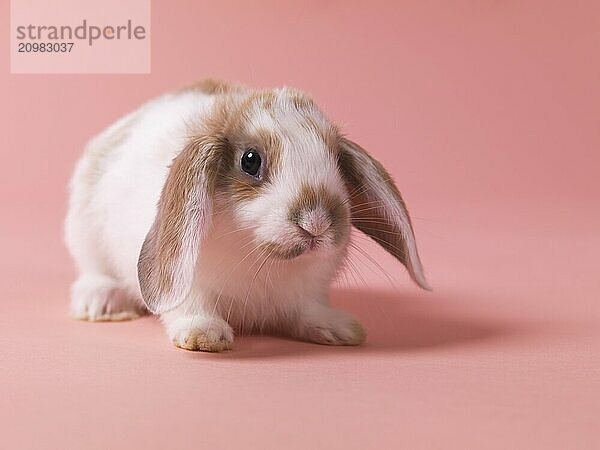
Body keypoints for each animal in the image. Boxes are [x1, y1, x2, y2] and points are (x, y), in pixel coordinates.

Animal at [65, 79, 428, 350]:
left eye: (337, 162)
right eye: (250, 161)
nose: (316, 222)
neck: (259, 258)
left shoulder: (306, 293)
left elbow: (306, 312)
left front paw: (338, 327)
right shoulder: (190, 286)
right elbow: (191, 307)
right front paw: (205, 335)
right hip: (84, 234)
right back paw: (100, 302)